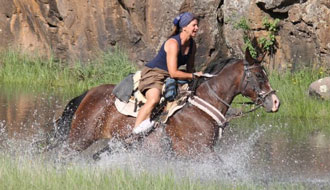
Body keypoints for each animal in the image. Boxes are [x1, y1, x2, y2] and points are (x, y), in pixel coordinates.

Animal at [52, 49, 280, 157]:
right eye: (259, 75)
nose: (275, 102)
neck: (203, 105)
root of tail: (89, 92)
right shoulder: (199, 152)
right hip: (81, 138)